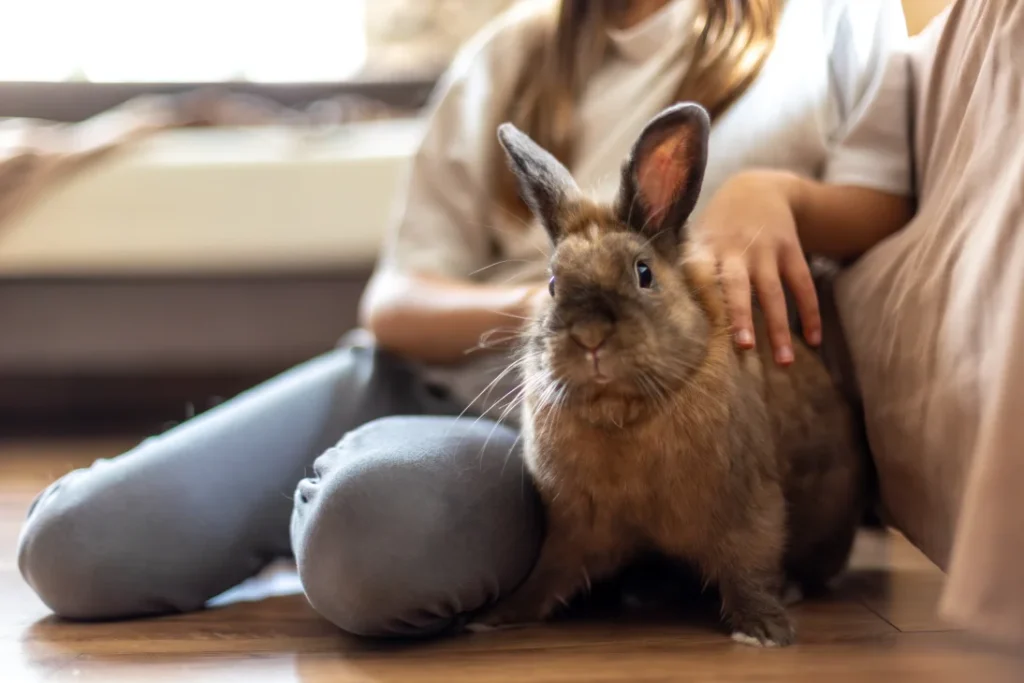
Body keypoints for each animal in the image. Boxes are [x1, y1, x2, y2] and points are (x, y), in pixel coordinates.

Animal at [468, 102, 867, 647]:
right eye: (551, 284)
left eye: (644, 273)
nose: (590, 335)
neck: (622, 414)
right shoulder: (574, 526)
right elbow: (548, 575)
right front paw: (499, 615)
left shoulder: (748, 507)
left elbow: (750, 566)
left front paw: (765, 631)